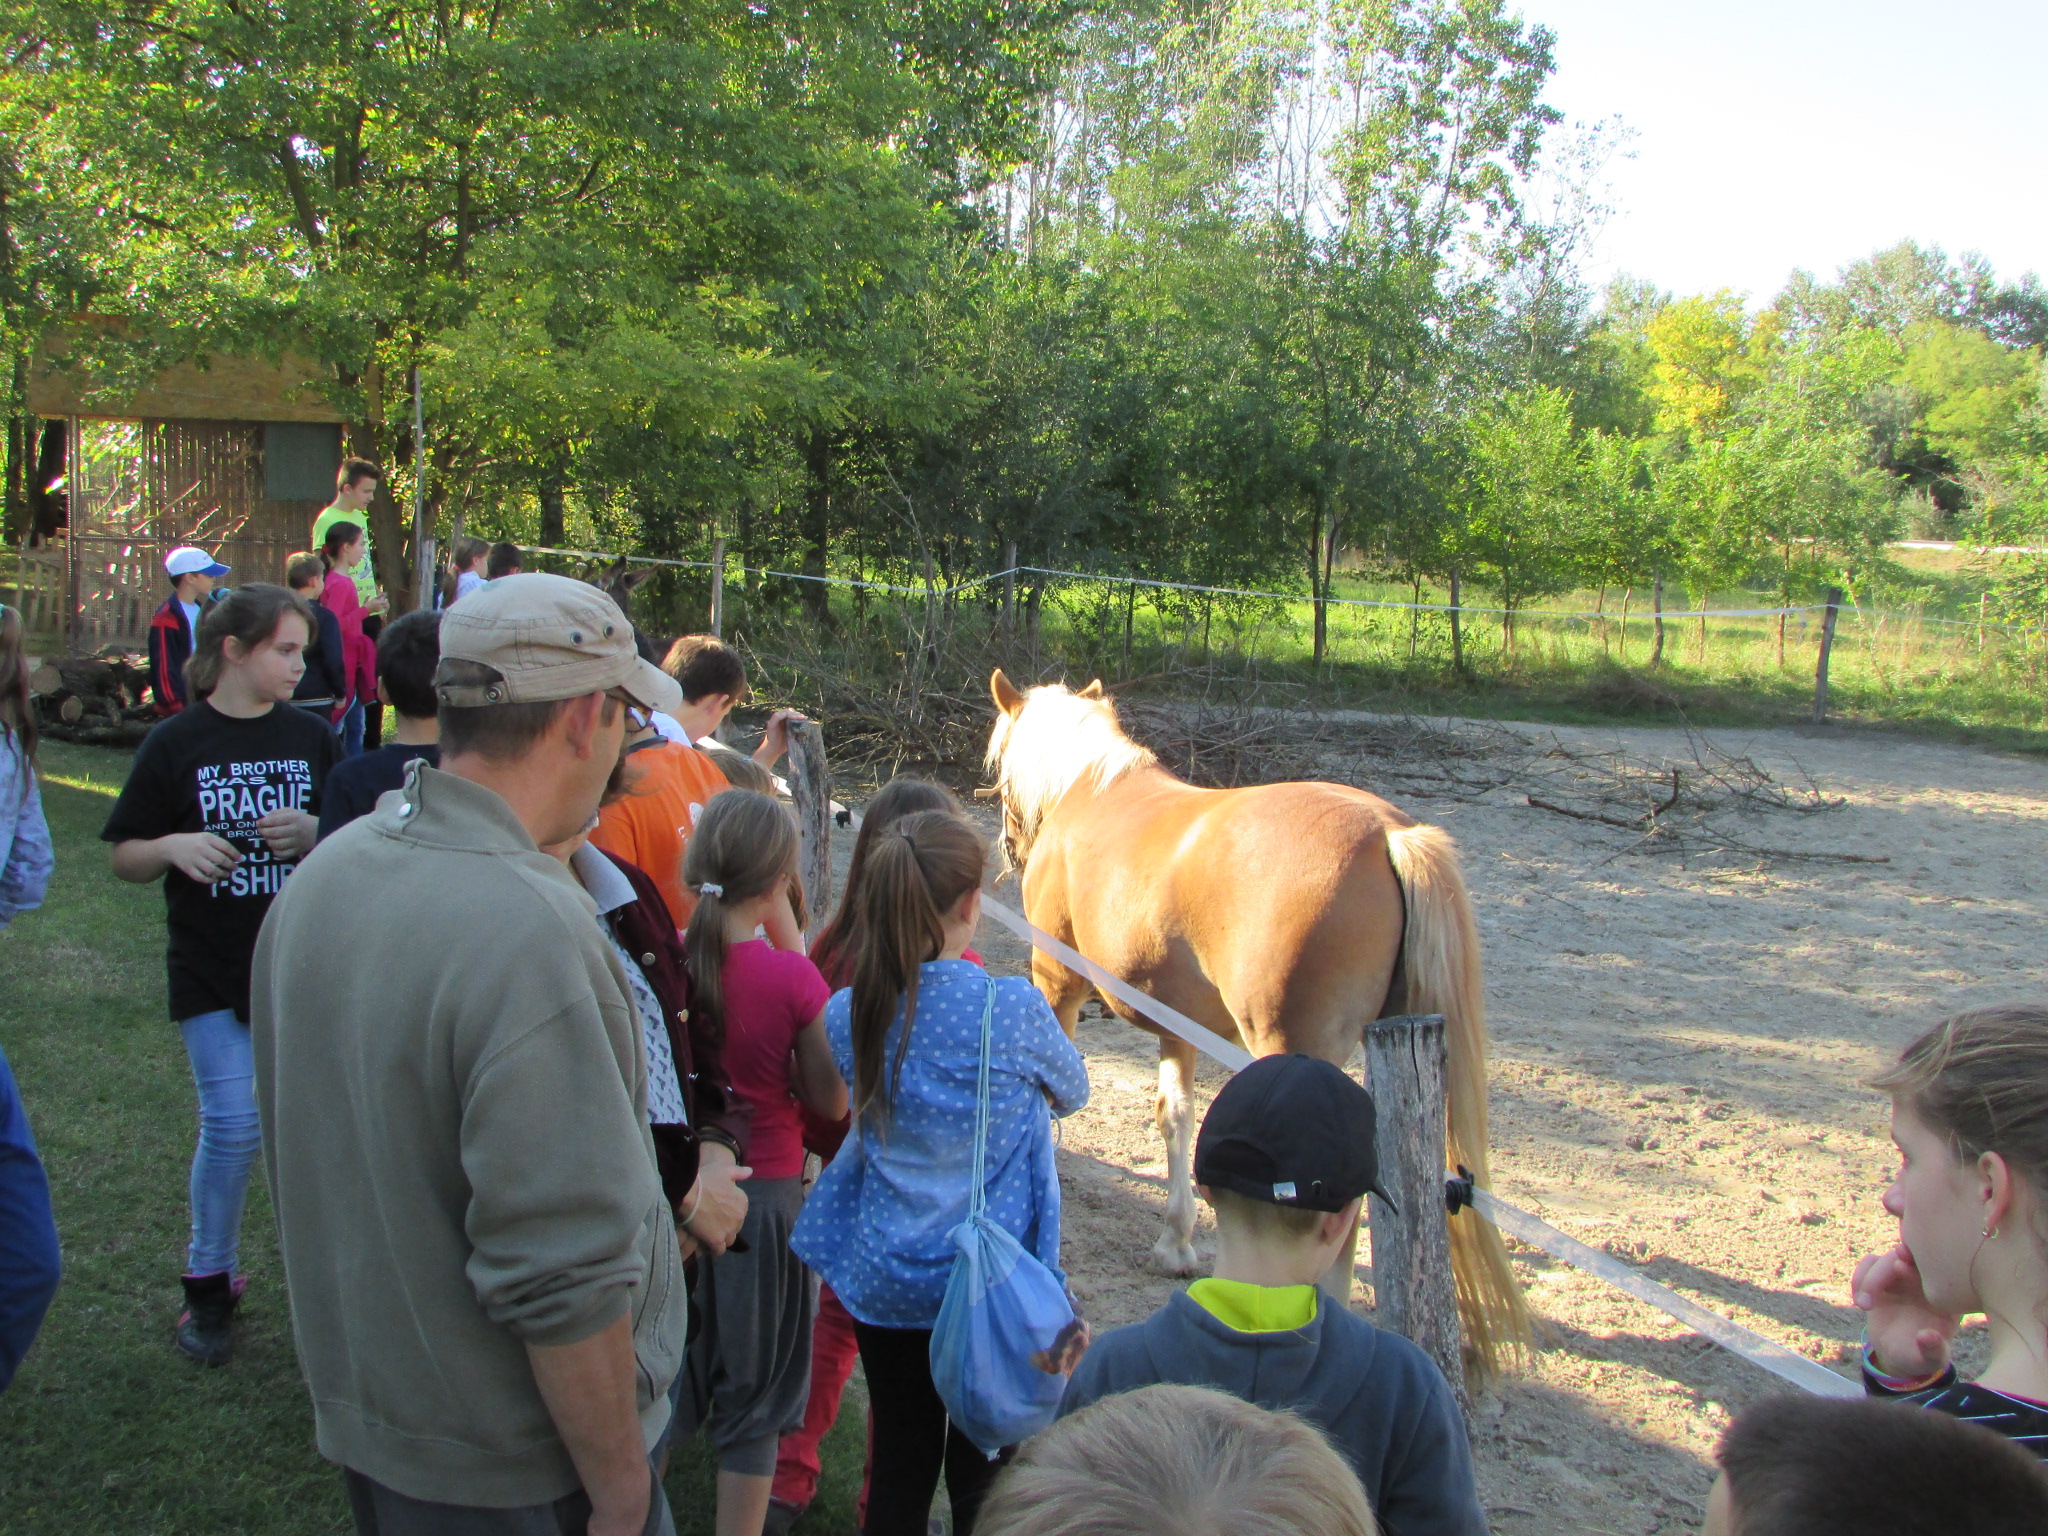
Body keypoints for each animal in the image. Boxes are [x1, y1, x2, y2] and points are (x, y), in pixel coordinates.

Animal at [984, 669, 1529, 1378]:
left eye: (998, 769)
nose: (1009, 848)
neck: (1091, 790)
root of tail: (1387, 833)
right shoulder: (1177, 1025)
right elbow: (1176, 1117)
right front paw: (1176, 1241)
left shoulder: (1057, 986)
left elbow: (1048, 1106)